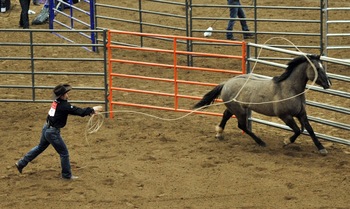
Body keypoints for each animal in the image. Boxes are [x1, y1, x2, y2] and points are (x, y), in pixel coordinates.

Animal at [193, 54, 332, 155]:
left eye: (323, 68)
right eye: (317, 69)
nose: (328, 84)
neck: (289, 89)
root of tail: (226, 83)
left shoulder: (301, 113)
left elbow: (309, 129)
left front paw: (321, 148)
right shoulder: (285, 116)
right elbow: (298, 130)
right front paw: (286, 141)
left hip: (235, 108)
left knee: (226, 115)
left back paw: (219, 133)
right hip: (240, 111)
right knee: (242, 126)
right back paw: (261, 142)